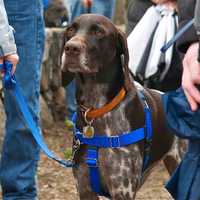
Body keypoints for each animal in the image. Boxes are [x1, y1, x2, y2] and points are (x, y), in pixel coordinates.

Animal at [62, 14, 186, 200]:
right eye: (71, 29)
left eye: (99, 31)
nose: (70, 48)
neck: (97, 110)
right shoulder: (85, 189)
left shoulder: (122, 189)